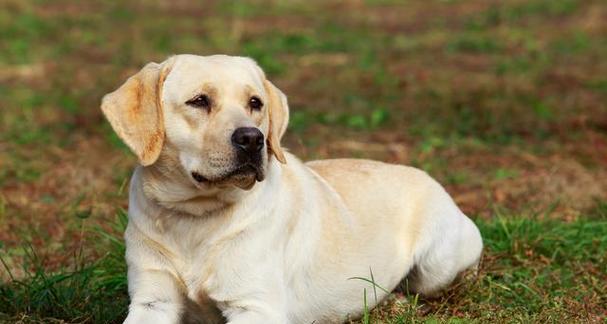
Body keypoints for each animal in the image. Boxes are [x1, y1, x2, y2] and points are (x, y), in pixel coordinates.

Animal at [103, 54, 484, 322]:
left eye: (255, 103)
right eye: (199, 101)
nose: (252, 139)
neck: (196, 216)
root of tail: (429, 177)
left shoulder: (256, 307)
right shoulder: (152, 300)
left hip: (438, 263)